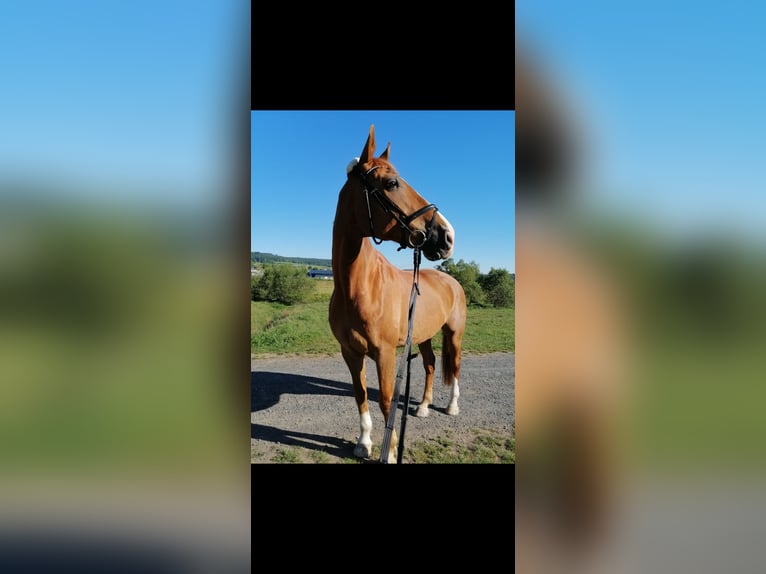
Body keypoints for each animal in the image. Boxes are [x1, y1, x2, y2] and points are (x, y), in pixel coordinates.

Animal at [330, 125, 468, 464]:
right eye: (392, 183)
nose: (447, 236)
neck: (360, 288)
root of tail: (451, 281)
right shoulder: (350, 353)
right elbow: (360, 395)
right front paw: (363, 443)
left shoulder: (384, 354)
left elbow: (386, 400)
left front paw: (390, 452)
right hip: (424, 335)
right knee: (430, 364)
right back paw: (422, 407)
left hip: (454, 334)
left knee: (456, 366)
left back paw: (451, 406)